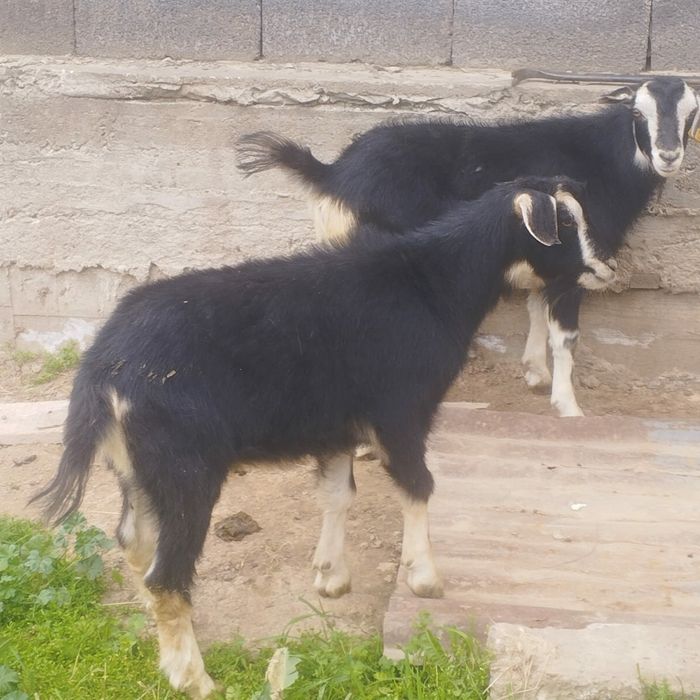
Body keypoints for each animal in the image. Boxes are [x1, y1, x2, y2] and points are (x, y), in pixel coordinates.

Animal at [31, 177, 611, 698]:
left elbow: (337, 494)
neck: (433, 283)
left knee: (135, 542)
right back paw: (195, 679)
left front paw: (331, 576)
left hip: (137, 468)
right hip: (184, 468)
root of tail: (103, 372)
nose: (605, 269)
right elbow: (418, 485)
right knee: (166, 574)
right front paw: (425, 578)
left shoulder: (337, 424)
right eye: (564, 223)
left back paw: (168, 642)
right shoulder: (400, 411)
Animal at [237, 77, 700, 417]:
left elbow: (534, 307)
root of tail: (331, 174)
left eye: (691, 113)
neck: (608, 160)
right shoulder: (573, 264)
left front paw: (535, 374)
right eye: (638, 112)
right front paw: (569, 408)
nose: (668, 155)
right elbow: (565, 336)